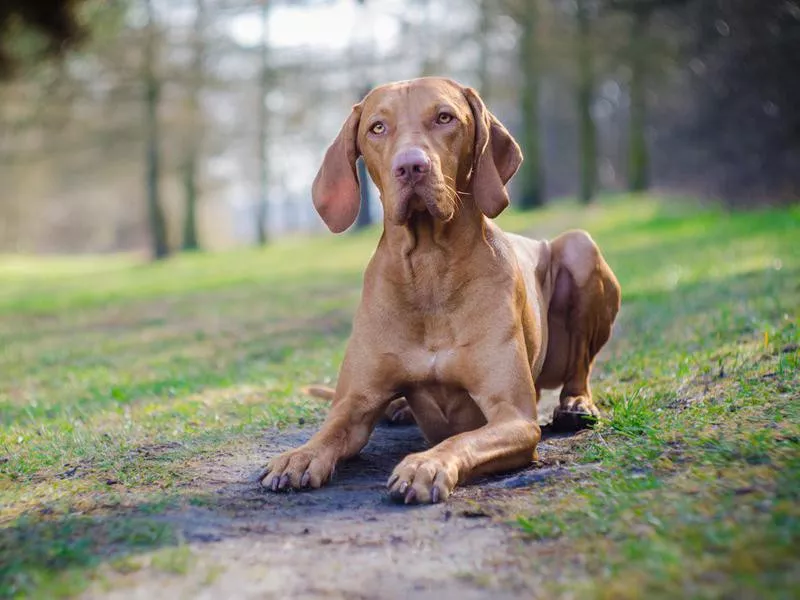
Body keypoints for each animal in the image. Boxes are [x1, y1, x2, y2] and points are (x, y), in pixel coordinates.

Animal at [260, 77, 620, 504]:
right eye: (377, 127)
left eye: (445, 117)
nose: (411, 166)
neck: (430, 266)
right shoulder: (353, 405)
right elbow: (329, 432)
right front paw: (299, 457)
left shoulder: (513, 416)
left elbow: (462, 439)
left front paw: (425, 465)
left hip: (580, 246)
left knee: (580, 366)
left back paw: (576, 404)